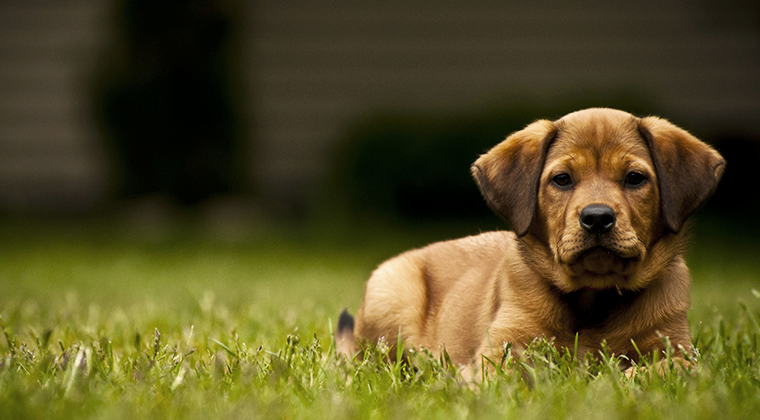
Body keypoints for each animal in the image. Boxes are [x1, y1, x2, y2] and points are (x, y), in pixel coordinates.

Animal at [336, 108, 724, 378]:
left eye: (635, 178)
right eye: (562, 179)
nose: (598, 218)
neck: (592, 300)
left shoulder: (677, 348)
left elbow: (663, 369)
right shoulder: (501, 348)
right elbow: (514, 373)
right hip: (391, 293)